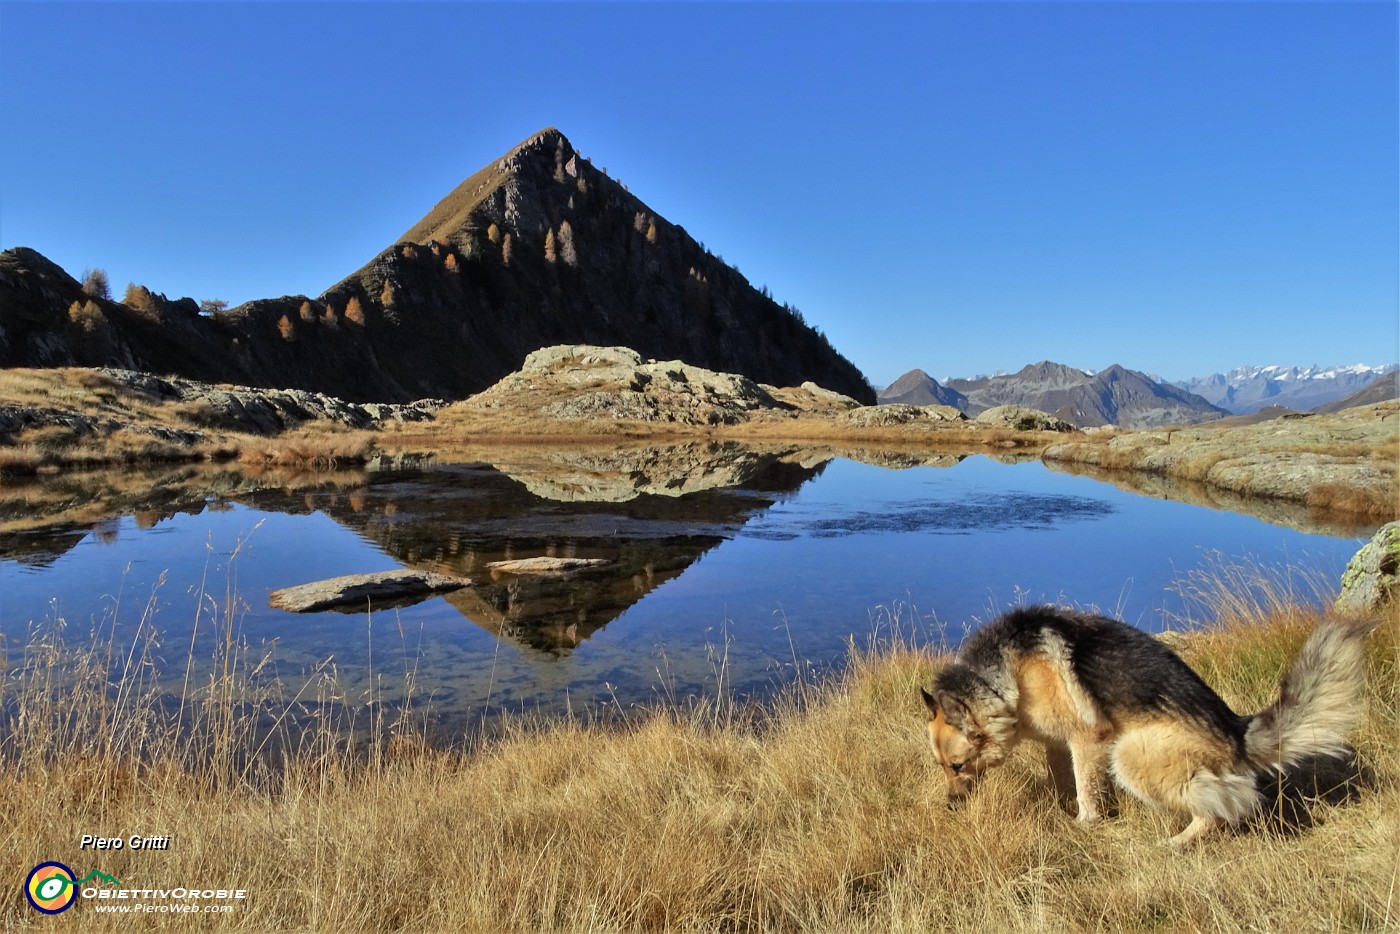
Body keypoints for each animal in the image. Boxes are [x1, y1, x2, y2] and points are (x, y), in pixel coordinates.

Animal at [924, 607, 1372, 845]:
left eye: (958, 765)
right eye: (942, 767)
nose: (950, 806)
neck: (1002, 678)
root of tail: (1237, 732)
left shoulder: (1090, 740)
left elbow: (1087, 790)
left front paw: (1086, 824)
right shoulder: (1058, 743)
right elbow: (1064, 779)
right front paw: (1061, 809)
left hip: (1131, 754)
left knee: (1228, 803)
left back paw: (1179, 843)